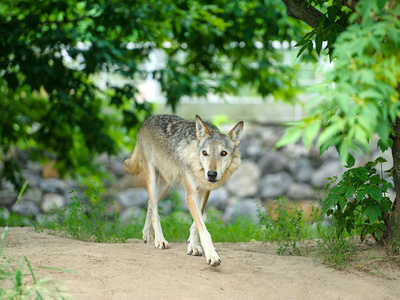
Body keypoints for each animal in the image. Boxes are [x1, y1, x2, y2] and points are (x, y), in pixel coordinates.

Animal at [124, 113, 244, 266]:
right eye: (204, 153)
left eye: (223, 153)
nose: (211, 174)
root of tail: (148, 119)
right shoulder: (190, 195)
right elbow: (203, 228)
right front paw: (211, 255)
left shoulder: (204, 192)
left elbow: (196, 224)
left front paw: (193, 245)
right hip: (152, 179)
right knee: (155, 212)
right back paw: (160, 240)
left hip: (164, 187)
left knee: (150, 204)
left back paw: (147, 235)